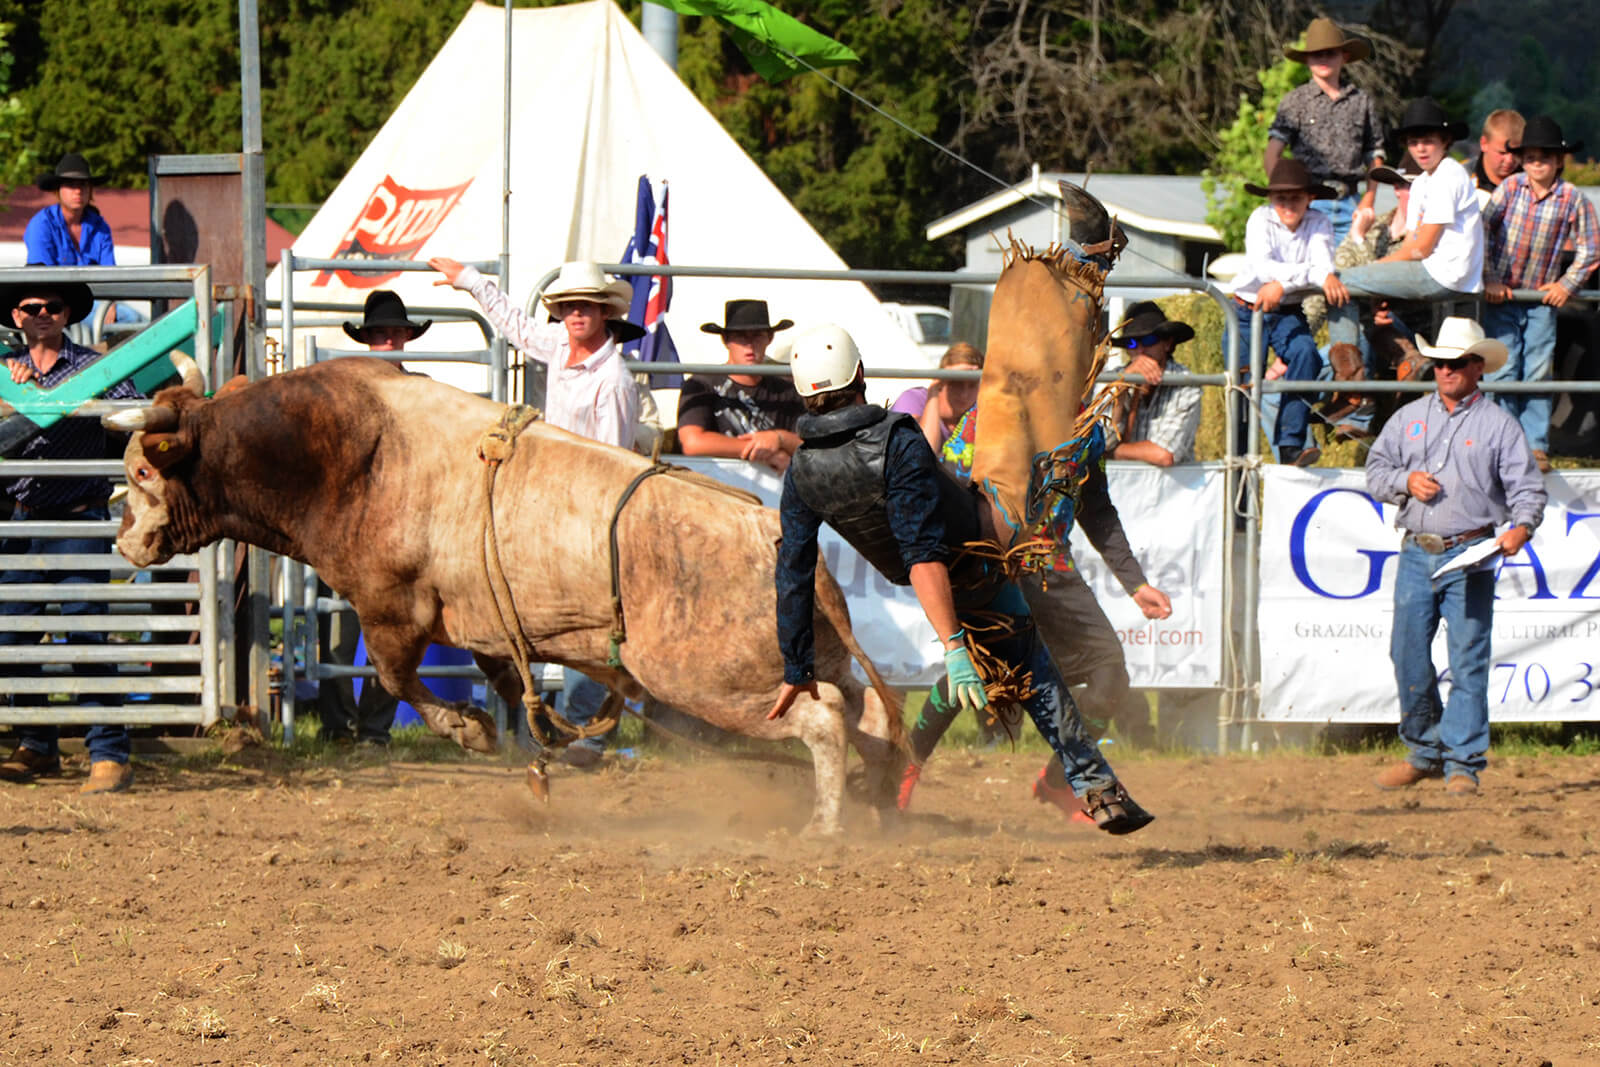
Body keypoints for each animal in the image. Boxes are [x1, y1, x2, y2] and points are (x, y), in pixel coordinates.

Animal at [105, 358, 904, 834]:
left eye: (143, 472)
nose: (122, 541)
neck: (340, 454)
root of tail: (776, 532)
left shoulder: (391, 606)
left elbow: (395, 675)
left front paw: (468, 729)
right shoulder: (484, 625)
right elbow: (498, 674)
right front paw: (522, 744)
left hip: (712, 680)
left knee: (825, 721)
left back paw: (825, 826)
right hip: (808, 657)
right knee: (864, 714)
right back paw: (877, 796)